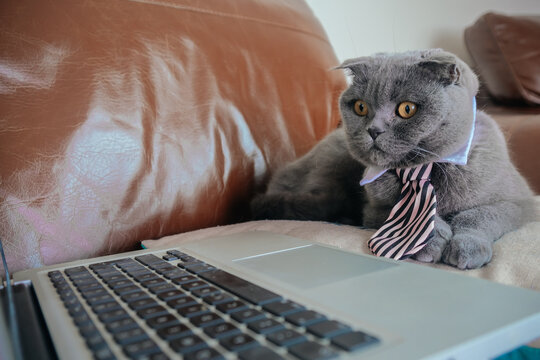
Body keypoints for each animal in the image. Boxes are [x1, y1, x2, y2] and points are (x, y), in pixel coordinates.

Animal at [252, 49, 536, 268]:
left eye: (407, 109)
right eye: (360, 107)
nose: (374, 130)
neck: (422, 170)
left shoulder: (521, 202)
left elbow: (480, 214)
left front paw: (467, 247)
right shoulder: (374, 209)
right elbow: (407, 215)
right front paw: (430, 241)